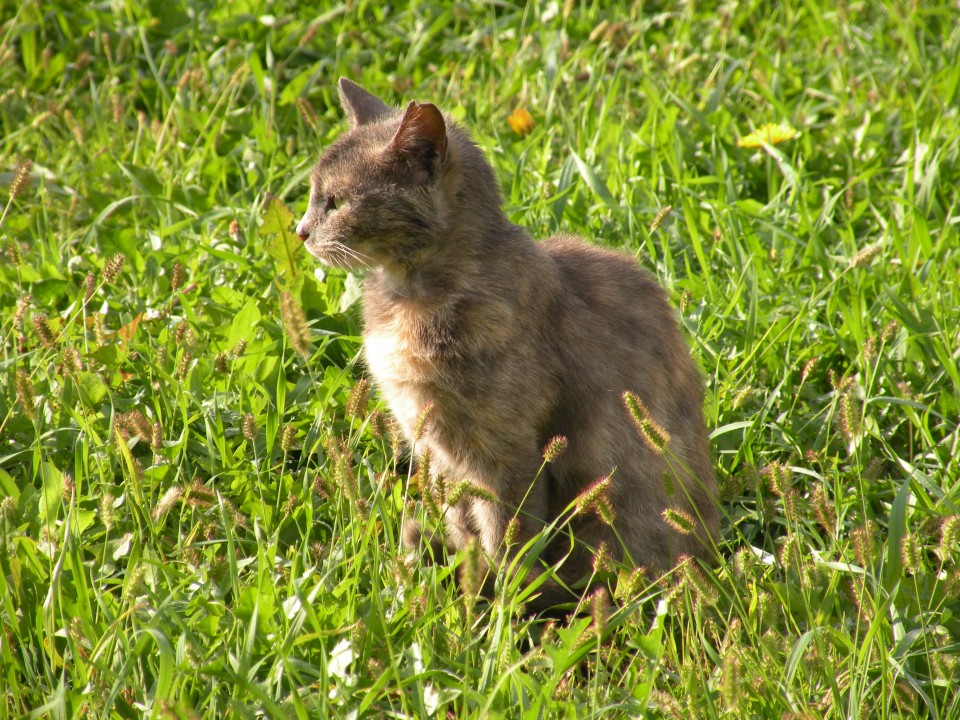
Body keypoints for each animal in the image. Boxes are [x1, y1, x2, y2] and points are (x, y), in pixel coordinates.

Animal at [296, 79, 716, 612]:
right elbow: (462, 525)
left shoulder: (503, 455)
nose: (300, 231)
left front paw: (499, 607)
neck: (410, 297)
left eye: (335, 201)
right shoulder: (437, 452)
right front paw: (468, 584)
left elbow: (507, 538)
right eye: (313, 196)